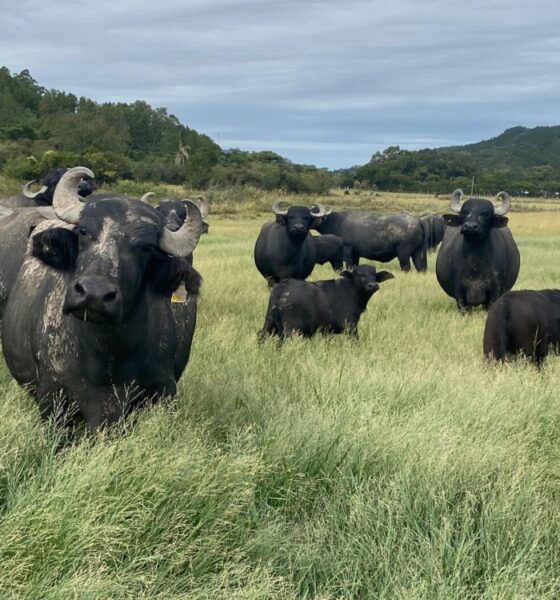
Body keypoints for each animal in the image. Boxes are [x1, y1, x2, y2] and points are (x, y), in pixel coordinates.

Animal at [2, 168, 203, 432]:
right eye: (83, 231)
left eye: (146, 248)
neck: (105, 357)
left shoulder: (163, 392)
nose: (94, 294)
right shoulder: (53, 399)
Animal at [260, 264, 394, 342]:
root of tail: (283, 285)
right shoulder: (350, 326)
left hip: (269, 322)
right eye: (359, 275)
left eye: (374, 275)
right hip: (290, 329)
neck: (351, 291)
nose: (373, 285)